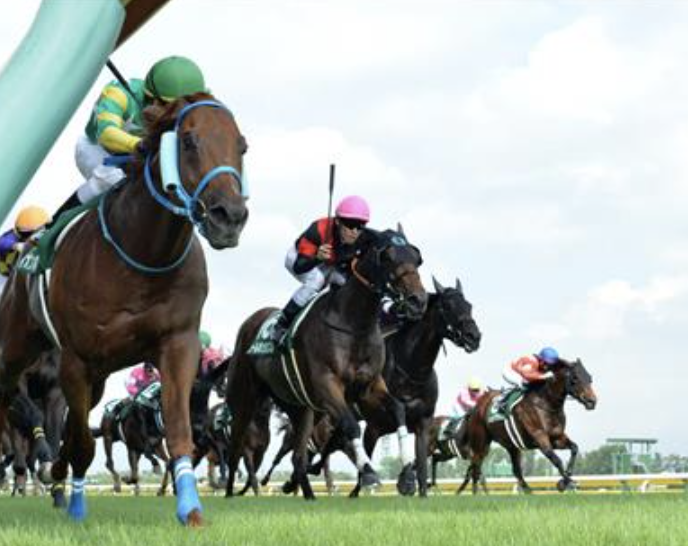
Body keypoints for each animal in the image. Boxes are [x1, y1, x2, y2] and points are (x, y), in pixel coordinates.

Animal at [0, 92, 248, 526]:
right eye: (188, 141)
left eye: (242, 146)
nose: (229, 217)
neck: (141, 252)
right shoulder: (75, 360)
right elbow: (80, 442)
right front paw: (77, 505)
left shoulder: (177, 343)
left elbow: (178, 432)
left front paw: (191, 510)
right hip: (16, 347)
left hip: (97, 380)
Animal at [226, 228, 427, 500]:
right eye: (387, 257)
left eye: (416, 259)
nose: (418, 301)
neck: (353, 324)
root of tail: (250, 322)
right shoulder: (328, 385)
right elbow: (351, 425)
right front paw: (369, 473)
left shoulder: (369, 386)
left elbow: (398, 410)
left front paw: (407, 475)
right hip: (244, 400)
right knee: (235, 448)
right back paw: (228, 493)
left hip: (301, 409)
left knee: (298, 456)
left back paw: (307, 494)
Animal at [331, 276, 481, 498]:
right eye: (447, 306)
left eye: (469, 305)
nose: (474, 336)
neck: (412, 372)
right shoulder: (374, 427)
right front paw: (402, 480)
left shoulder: (423, 425)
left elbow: (422, 466)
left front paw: (416, 485)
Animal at [458, 358, 597, 494]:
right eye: (575, 378)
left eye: (589, 378)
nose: (592, 401)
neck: (547, 403)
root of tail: (476, 406)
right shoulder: (540, 437)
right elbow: (556, 460)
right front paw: (566, 483)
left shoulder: (557, 437)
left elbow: (574, 448)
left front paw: (566, 480)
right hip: (481, 444)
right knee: (476, 467)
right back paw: (476, 494)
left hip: (511, 446)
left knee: (514, 469)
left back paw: (528, 490)